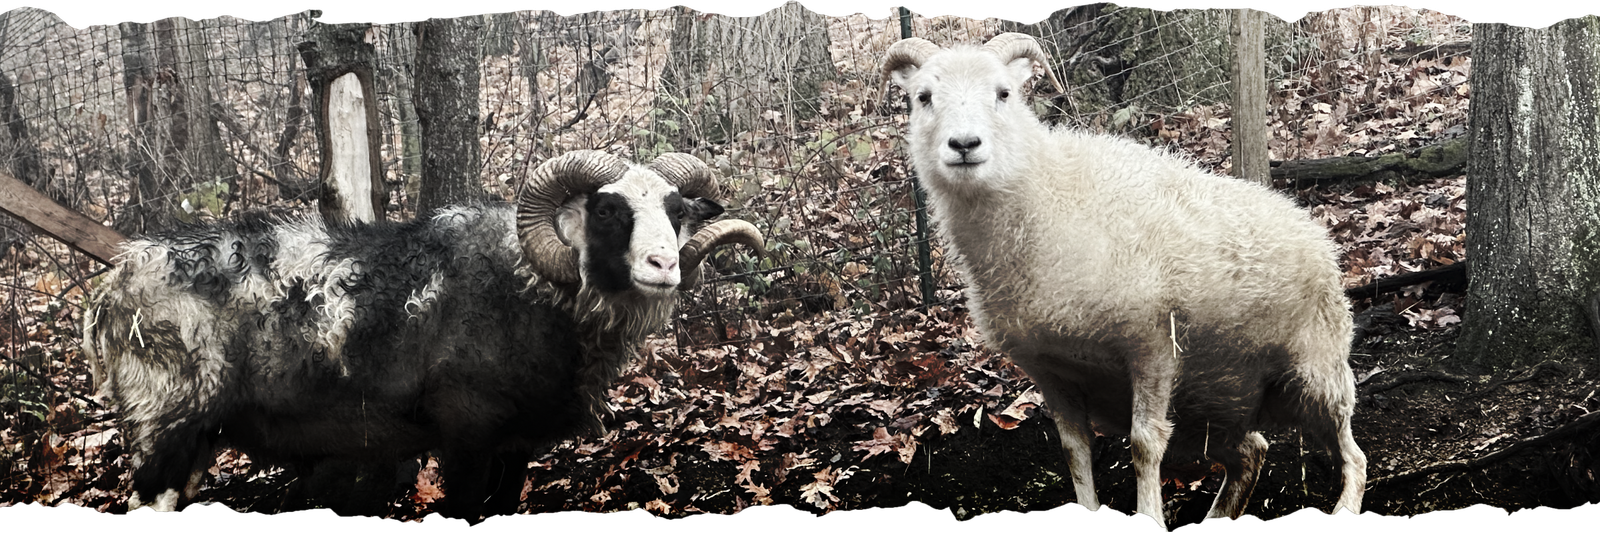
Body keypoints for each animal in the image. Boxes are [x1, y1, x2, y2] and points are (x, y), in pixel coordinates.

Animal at [81, 150, 765, 519]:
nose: (665, 266)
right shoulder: (464, 430)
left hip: (195, 435)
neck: (527, 287)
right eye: (606, 210)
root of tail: (114, 286)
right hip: (163, 421)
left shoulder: (514, 444)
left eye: (676, 212)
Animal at [882, 33, 1365, 527]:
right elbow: (1074, 450)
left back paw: (1346, 504)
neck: (1047, 197)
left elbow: (1144, 444)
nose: (964, 144)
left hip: (1316, 372)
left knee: (1353, 455)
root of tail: (1314, 231)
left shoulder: (1151, 342)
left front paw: (1150, 513)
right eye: (923, 97)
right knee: (1252, 451)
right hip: (1210, 407)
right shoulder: (1048, 367)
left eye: (1004, 93)